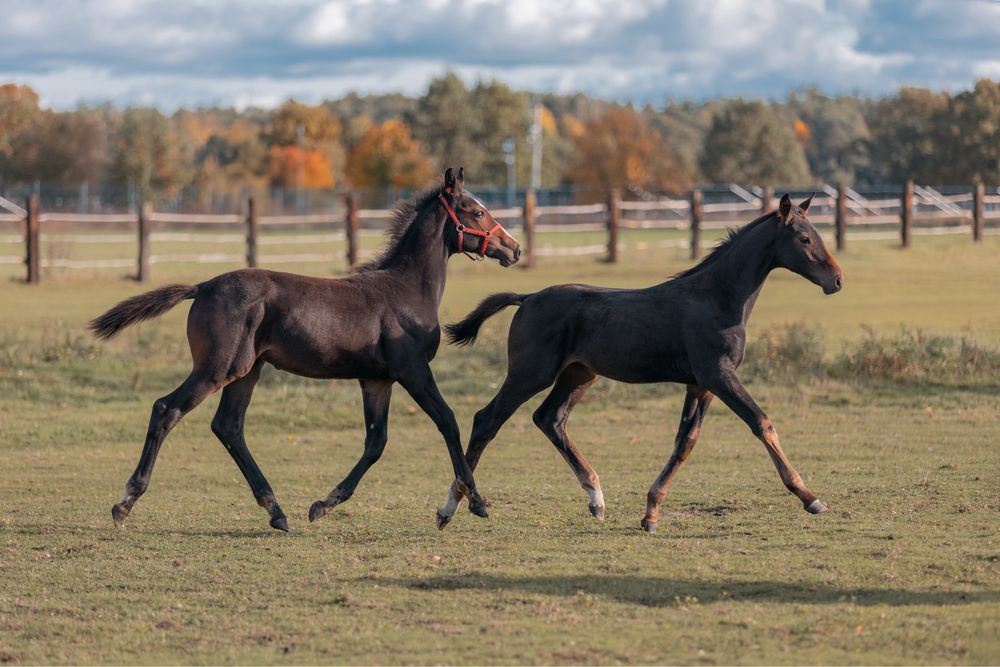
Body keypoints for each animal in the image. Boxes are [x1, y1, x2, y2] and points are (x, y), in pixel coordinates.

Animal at [89, 167, 520, 531]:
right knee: (167, 409)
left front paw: (322, 505)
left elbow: (376, 443)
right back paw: (125, 502)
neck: (406, 290)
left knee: (228, 426)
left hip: (247, 371)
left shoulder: (376, 380)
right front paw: (475, 501)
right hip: (217, 368)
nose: (513, 249)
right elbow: (448, 420)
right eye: (477, 212)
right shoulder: (412, 370)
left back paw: (276, 511)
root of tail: (203, 286)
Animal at [435, 194, 842, 532]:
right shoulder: (719, 375)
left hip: (578, 375)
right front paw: (810, 497)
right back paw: (455, 506)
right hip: (530, 373)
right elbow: (761, 423)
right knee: (487, 420)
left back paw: (596, 499)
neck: (716, 298)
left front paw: (651, 513)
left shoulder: (701, 384)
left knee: (549, 419)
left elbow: (685, 441)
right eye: (804, 239)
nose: (836, 280)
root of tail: (529, 297)